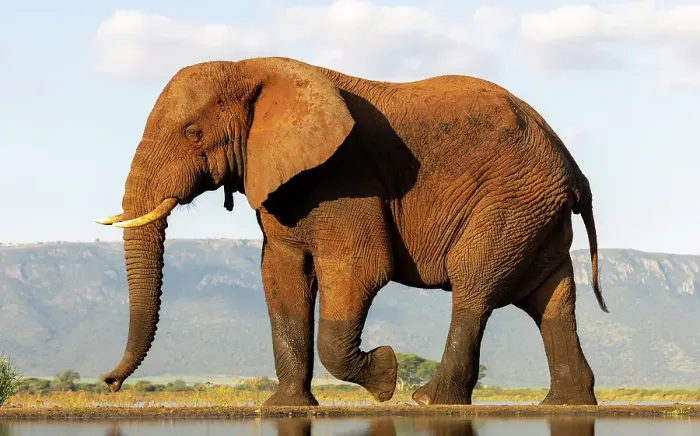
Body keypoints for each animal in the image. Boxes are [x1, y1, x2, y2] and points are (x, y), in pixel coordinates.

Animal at [95, 56, 608, 407]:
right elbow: (281, 278)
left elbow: (359, 269)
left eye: (193, 133)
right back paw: (565, 403)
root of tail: (574, 170)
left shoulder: (345, 176)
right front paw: (285, 407)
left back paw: (428, 399)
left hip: (509, 200)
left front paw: (385, 375)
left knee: (475, 287)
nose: (109, 382)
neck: (253, 68)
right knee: (551, 299)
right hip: (536, 210)